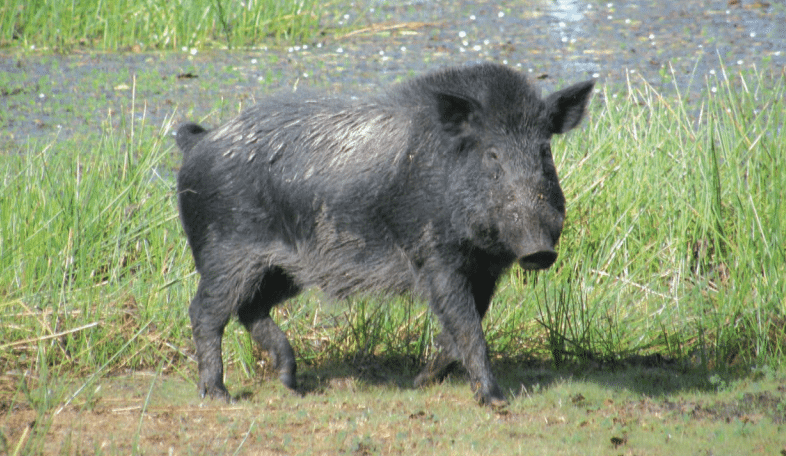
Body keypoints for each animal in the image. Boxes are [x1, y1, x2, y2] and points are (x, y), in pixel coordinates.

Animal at [175, 63, 594, 407]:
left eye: (544, 151)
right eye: (492, 154)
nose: (539, 251)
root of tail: (198, 141)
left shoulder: (485, 269)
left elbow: (465, 324)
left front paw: (420, 381)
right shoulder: (436, 257)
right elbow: (467, 326)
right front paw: (495, 400)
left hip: (283, 271)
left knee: (250, 309)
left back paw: (291, 383)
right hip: (225, 255)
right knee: (205, 312)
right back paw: (220, 395)